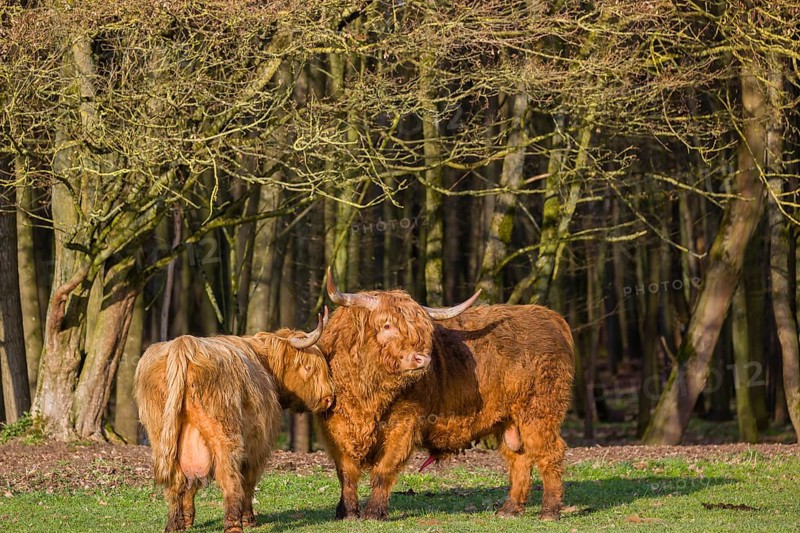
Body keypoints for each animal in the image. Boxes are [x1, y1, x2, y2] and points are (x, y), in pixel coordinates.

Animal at [134, 310, 335, 533]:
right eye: (309, 367)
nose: (329, 398)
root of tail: (184, 344)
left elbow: (191, 484)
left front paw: (187, 520)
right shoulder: (258, 445)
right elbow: (248, 481)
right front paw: (249, 519)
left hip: (161, 435)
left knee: (176, 480)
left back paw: (174, 525)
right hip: (225, 433)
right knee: (230, 478)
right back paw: (233, 524)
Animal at [318, 273, 574, 521]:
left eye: (423, 330)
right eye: (387, 325)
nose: (422, 358)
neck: (367, 395)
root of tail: (551, 317)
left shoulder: (404, 424)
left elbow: (384, 469)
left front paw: (373, 512)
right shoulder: (335, 429)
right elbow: (346, 473)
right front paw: (347, 512)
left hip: (539, 411)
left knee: (549, 452)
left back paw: (549, 511)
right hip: (510, 420)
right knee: (519, 459)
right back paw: (509, 509)